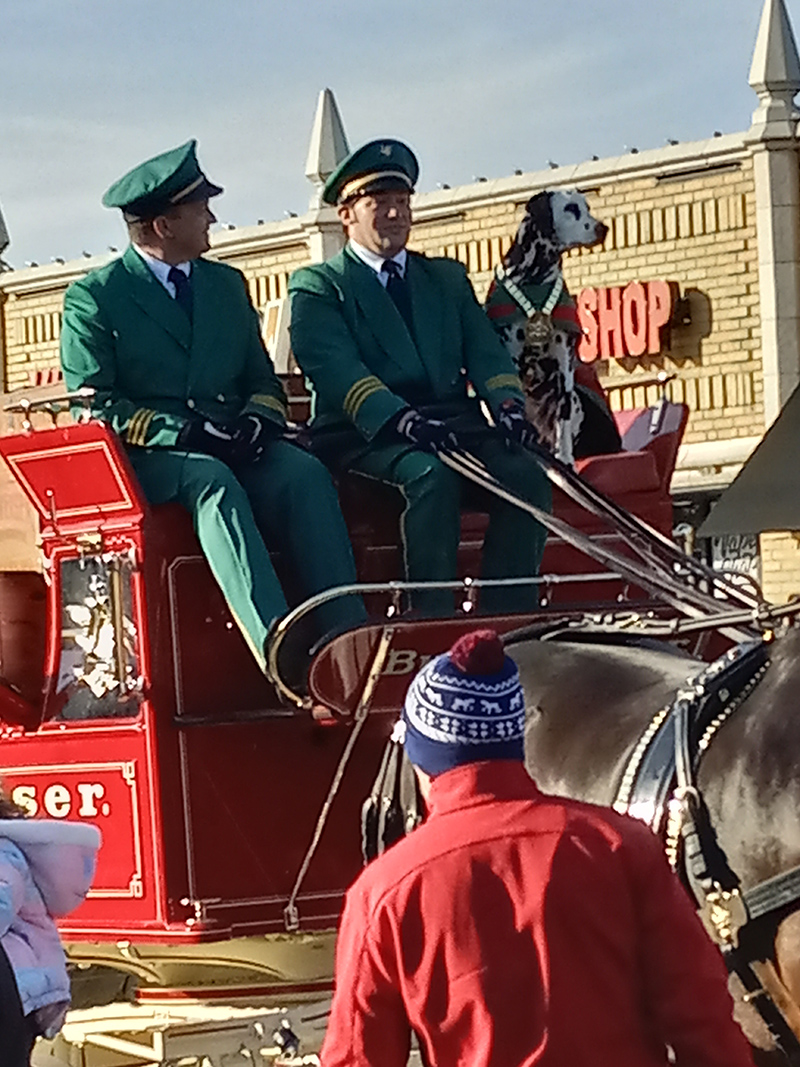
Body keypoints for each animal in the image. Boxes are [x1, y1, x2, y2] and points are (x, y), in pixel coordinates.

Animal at [486, 190, 610, 463]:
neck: (534, 280)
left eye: (587, 207)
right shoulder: (511, 355)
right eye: (571, 208)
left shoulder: (564, 364)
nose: (602, 228)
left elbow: (562, 422)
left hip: (575, 399)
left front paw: (564, 456)